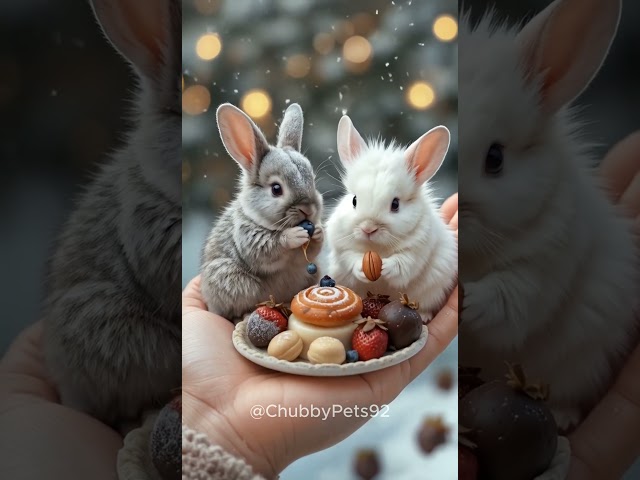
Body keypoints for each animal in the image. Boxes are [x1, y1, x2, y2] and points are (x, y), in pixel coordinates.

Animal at [202, 102, 324, 318]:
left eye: (313, 181)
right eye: (276, 189)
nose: (308, 209)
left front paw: (318, 232)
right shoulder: (248, 237)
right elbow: (268, 248)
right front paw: (295, 235)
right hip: (232, 279)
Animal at [328, 115, 458, 322]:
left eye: (395, 204)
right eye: (354, 200)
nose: (368, 228)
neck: (376, 247)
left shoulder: (415, 253)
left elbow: (402, 264)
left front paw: (386, 267)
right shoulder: (342, 247)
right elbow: (350, 258)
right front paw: (361, 268)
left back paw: (424, 316)